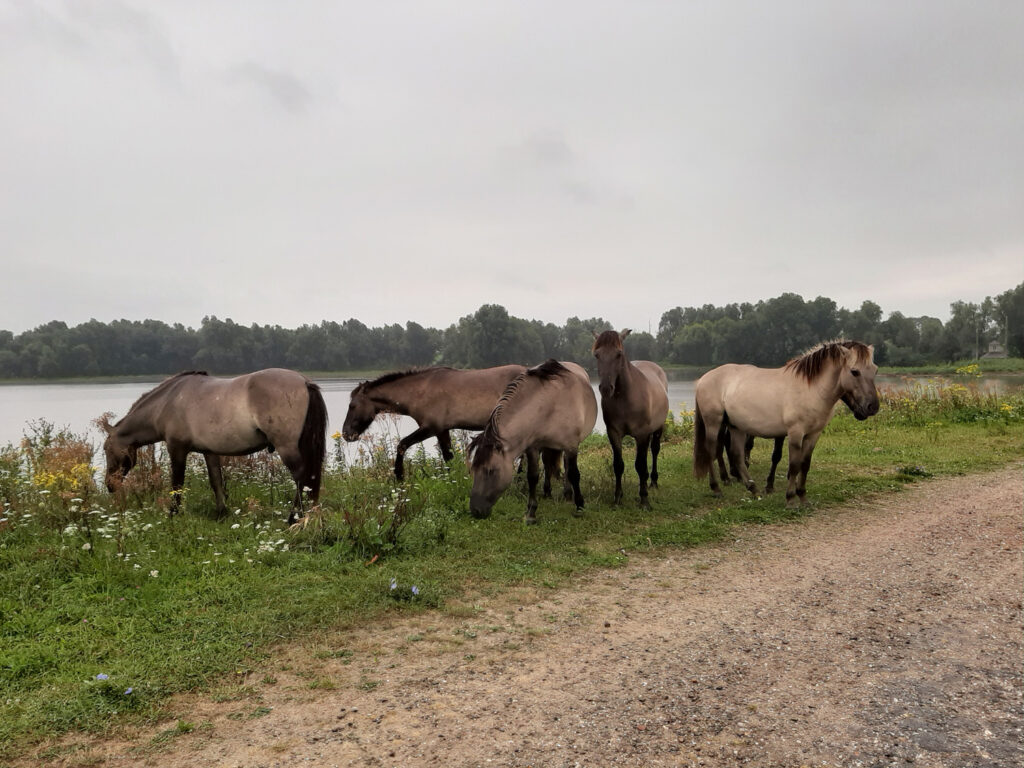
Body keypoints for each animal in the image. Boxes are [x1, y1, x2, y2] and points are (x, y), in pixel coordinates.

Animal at [98, 366, 325, 524]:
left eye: (106, 449)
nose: (110, 485)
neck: (168, 401)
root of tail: (304, 382)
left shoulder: (177, 449)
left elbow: (177, 484)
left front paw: (173, 513)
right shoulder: (210, 452)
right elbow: (216, 481)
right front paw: (222, 512)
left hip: (286, 447)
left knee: (301, 477)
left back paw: (293, 517)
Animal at [342, 366, 528, 481]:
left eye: (352, 406)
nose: (346, 434)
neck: (419, 391)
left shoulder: (431, 428)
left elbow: (402, 445)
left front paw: (399, 476)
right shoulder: (442, 430)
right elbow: (448, 457)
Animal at [466, 360, 598, 524]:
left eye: (490, 470)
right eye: (473, 469)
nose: (476, 510)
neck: (551, 403)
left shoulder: (571, 445)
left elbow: (574, 474)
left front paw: (580, 506)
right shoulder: (533, 448)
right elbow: (532, 476)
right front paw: (531, 512)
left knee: (567, 467)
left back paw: (568, 495)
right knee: (548, 465)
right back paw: (548, 492)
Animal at [593, 331, 671, 512]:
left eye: (618, 354)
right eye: (597, 355)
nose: (606, 388)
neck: (626, 398)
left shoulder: (642, 435)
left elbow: (640, 465)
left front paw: (644, 500)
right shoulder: (613, 433)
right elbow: (618, 465)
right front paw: (617, 498)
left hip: (658, 428)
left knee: (654, 450)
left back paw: (653, 482)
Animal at [696, 342, 880, 507]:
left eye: (875, 370)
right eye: (854, 371)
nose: (872, 407)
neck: (811, 389)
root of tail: (703, 379)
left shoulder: (813, 435)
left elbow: (805, 465)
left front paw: (803, 497)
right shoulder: (795, 433)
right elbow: (794, 465)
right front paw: (790, 499)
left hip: (736, 427)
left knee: (737, 455)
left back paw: (754, 490)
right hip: (714, 423)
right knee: (712, 451)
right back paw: (717, 488)